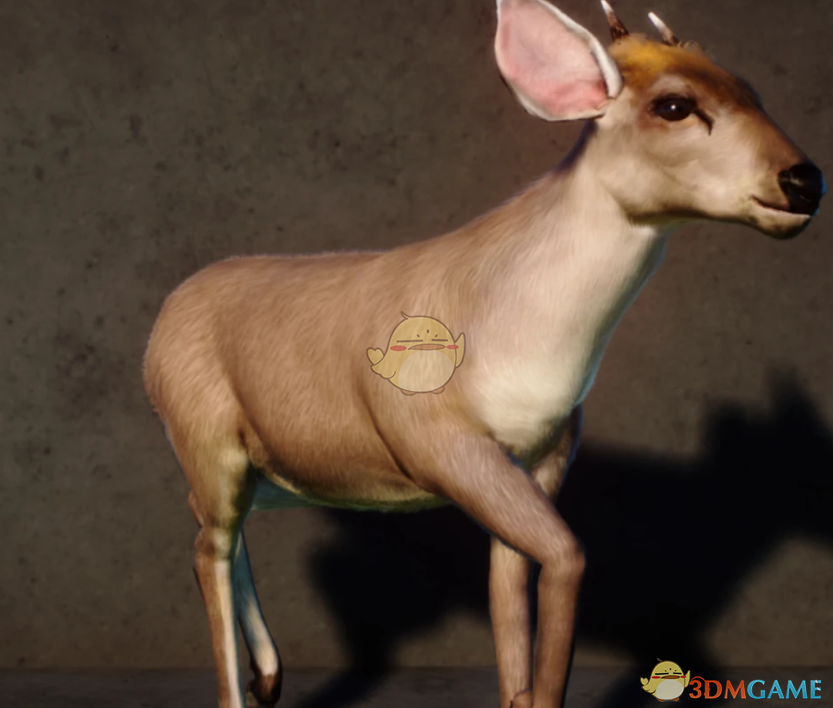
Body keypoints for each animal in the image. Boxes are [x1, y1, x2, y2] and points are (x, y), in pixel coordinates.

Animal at [141, 1, 825, 707]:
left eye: (749, 88)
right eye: (673, 105)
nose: (804, 181)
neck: (516, 327)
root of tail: (162, 320)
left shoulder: (542, 455)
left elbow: (510, 588)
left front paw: (518, 691)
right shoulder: (441, 441)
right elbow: (567, 556)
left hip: (278, 470)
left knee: (211, 527)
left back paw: (272, 675)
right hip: (209, 443)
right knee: (208, 547)